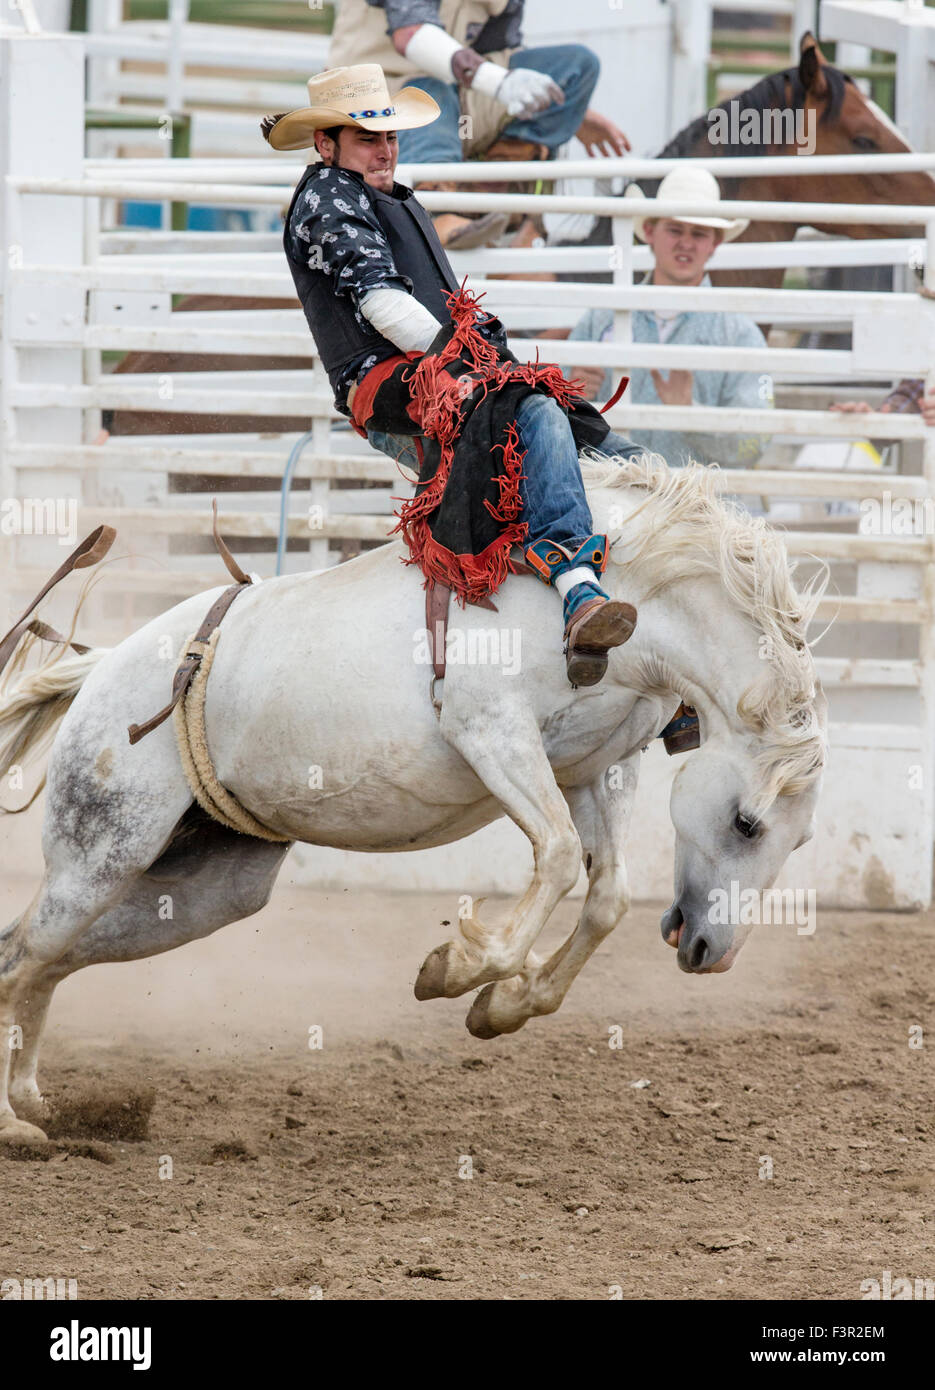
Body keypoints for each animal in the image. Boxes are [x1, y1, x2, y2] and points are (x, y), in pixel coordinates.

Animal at [0, 453, 828, 1147]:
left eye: (799, 840)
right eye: (746, 822)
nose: (711, 952)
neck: (626, 587)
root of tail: (103, 670)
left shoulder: (594, 767)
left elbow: (607, 896)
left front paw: (503, 1006)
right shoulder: (491, 732)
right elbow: (560, 857)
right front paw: (458, 967)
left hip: (206, 888)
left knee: (41, 956)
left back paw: (34, 1100)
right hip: (101, 850)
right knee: (27, 956)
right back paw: (15, 1125)